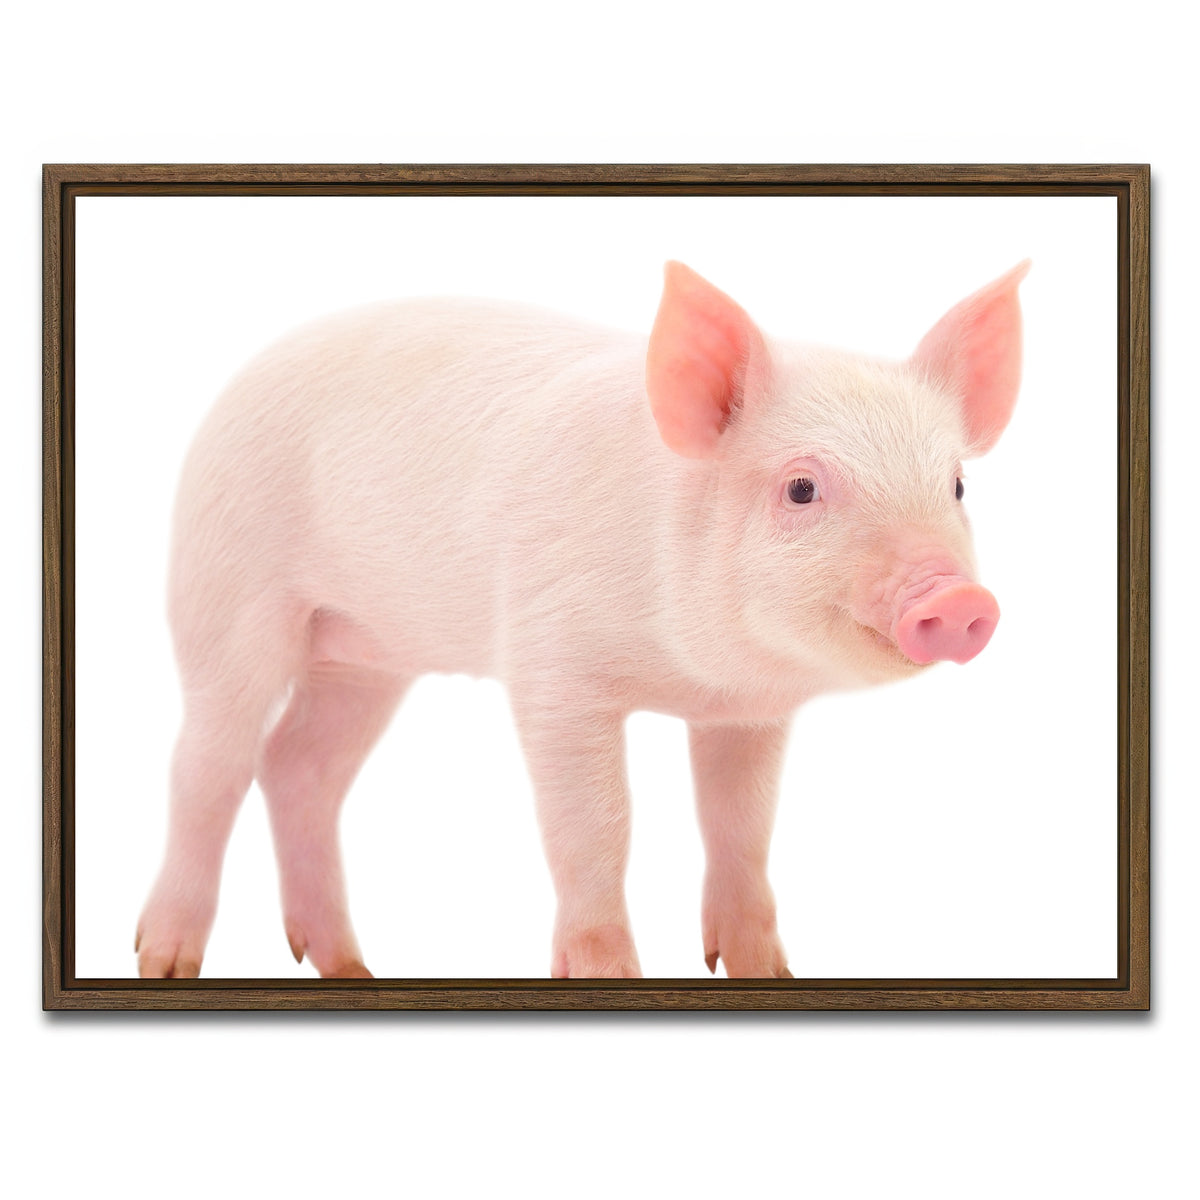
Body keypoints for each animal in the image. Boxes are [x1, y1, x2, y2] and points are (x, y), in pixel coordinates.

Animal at [135, 259, 1030, 980]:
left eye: (955, 485)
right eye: (802, 488)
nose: (958, 600)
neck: (692, 676)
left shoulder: (749, 713)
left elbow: (741, 826)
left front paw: (764, 973)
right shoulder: (552, 669)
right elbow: (598, 826)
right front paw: (607, 974)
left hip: (365, 656)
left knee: (299, 767)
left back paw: (353, 968)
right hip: (227, 591)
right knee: (209, 766)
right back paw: (164, 961)